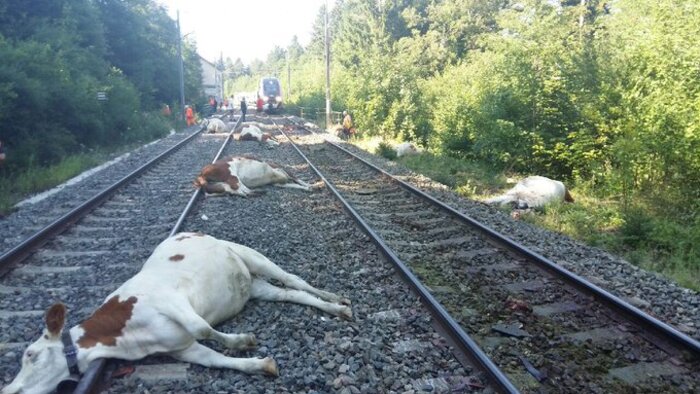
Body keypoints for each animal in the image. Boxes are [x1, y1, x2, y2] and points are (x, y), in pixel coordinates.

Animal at [0, 231, 350, 394]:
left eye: (31, 355)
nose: (10, 389)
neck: (127, 339)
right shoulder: (180, 349)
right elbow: (214, 359)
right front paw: (260, 364)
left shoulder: (171, 301)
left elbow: (203, 328)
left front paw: (244, 340)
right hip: (256, 286)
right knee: (290, 293)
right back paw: (333, 307)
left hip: (252, 255)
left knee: (294, 279)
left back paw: (335, 300)